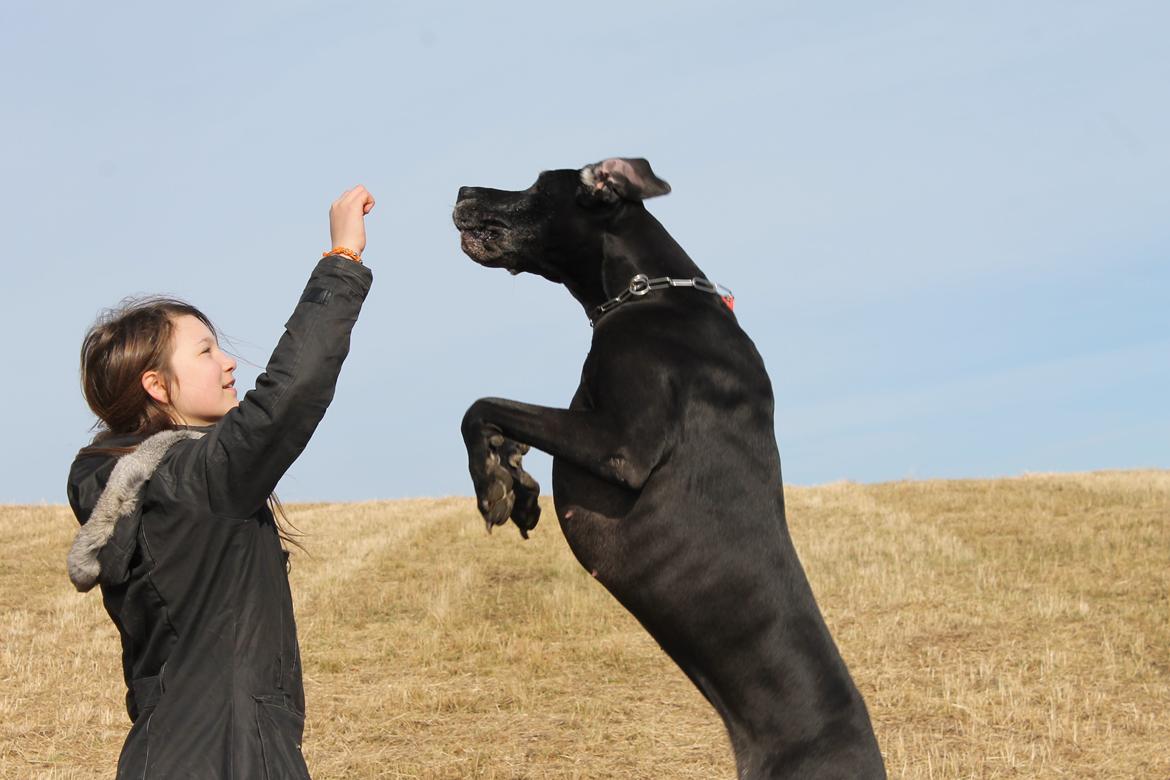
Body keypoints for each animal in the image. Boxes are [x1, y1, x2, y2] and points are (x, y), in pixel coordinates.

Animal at [451, 160, 879, 780]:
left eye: (536, 185)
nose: (462, 190)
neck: (650, 295)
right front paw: (517, 482)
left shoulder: (622, 446)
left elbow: (482, 405)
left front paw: (493, 488)